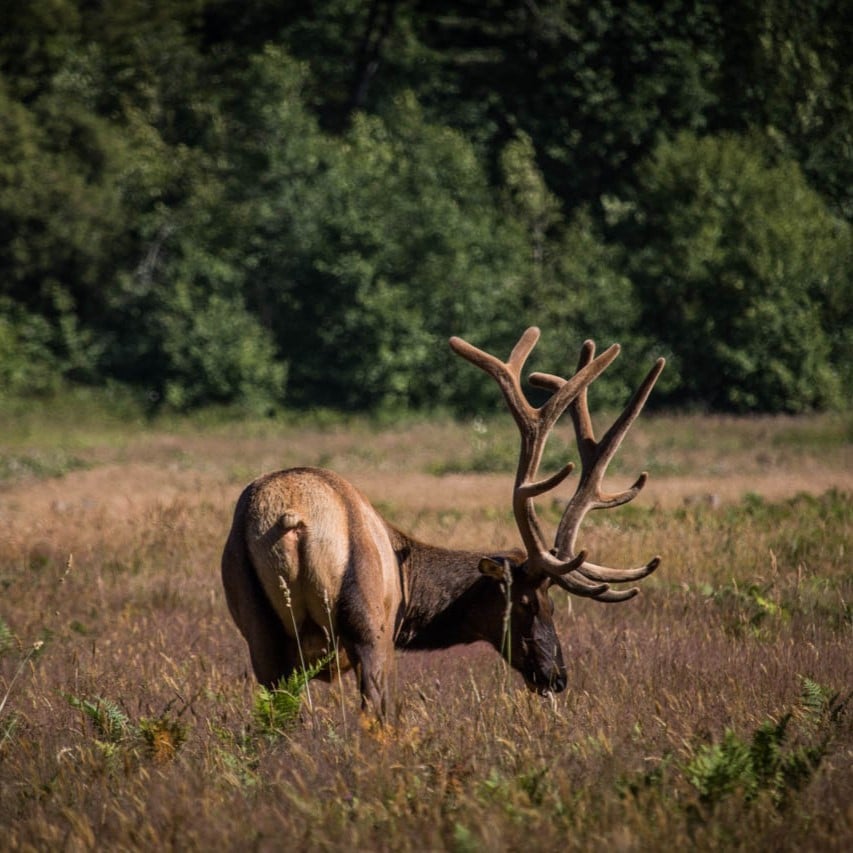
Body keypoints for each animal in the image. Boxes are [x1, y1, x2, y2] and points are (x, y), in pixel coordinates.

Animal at [221, 330, 664, 716]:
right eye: (531, 602)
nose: (557, 676)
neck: (411, 585)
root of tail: (292, 517)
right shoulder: (386, 628)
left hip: (260, 628)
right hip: (367, 623)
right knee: (375, 715)